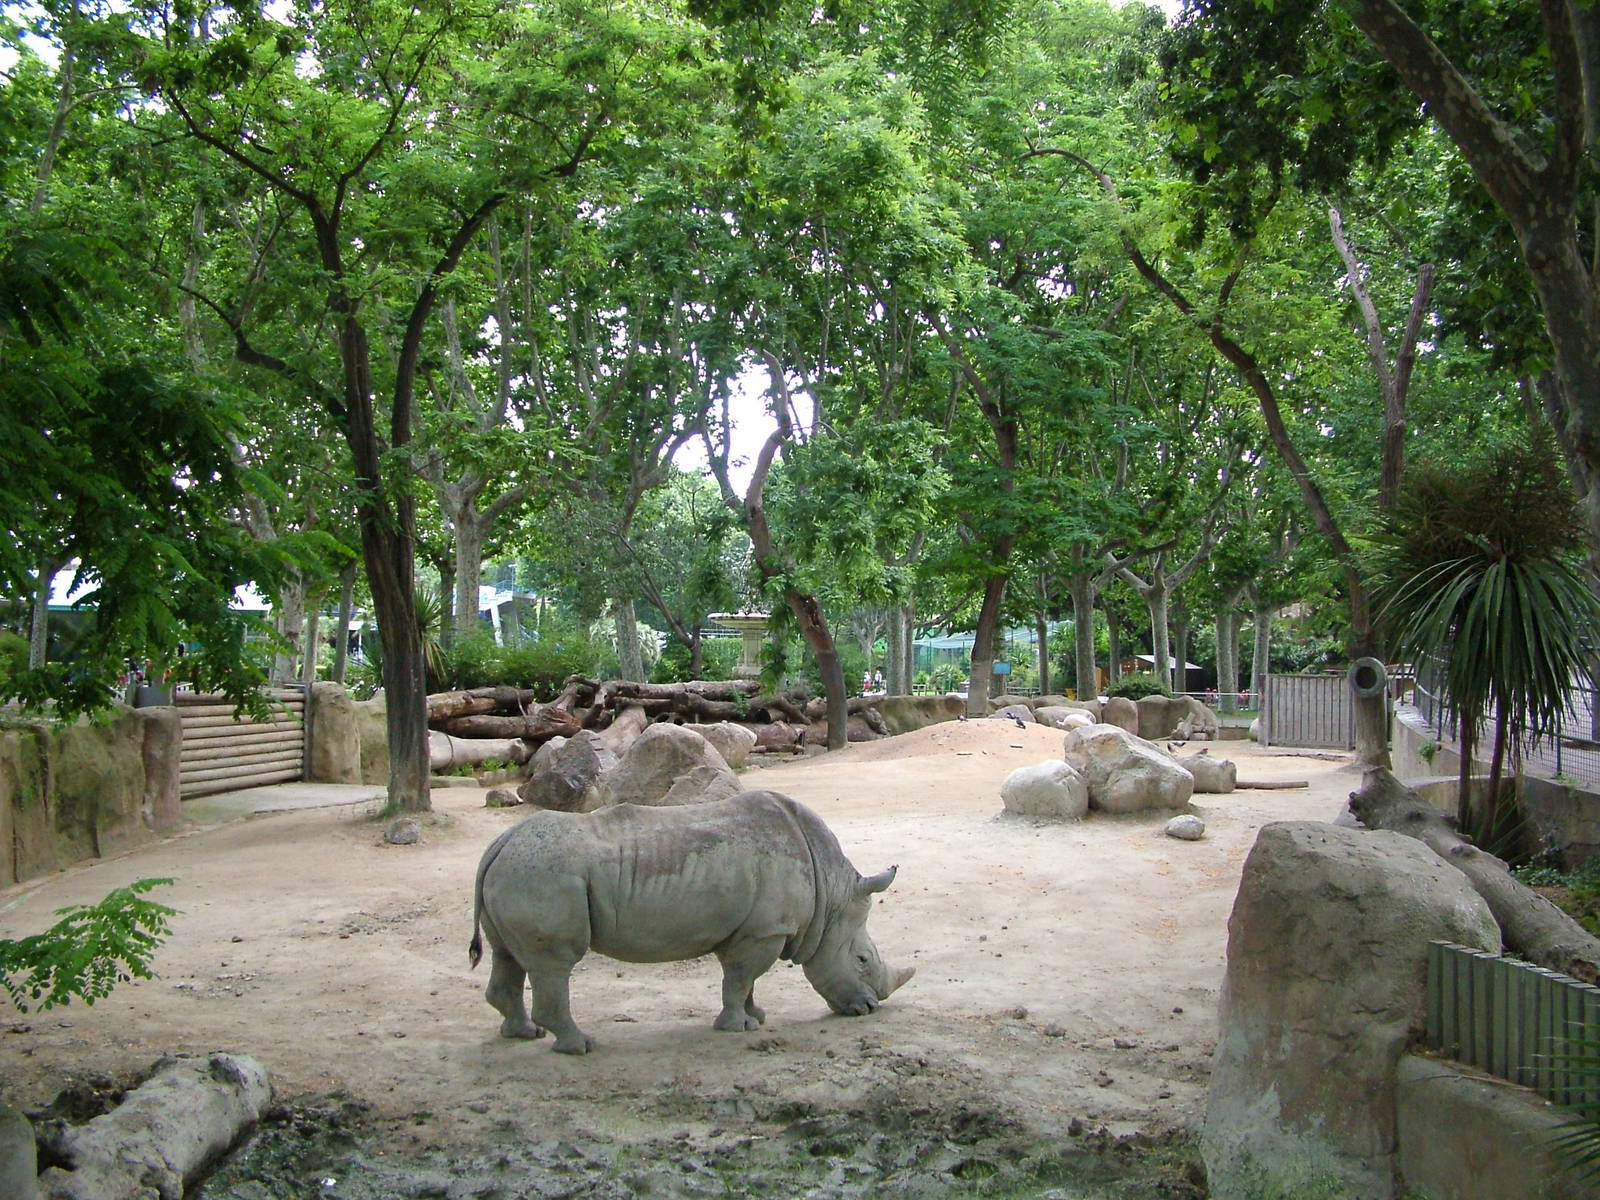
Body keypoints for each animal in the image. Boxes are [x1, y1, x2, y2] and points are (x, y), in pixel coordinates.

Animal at [469, 789, 914, 1054]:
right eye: (861, 960)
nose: (869, 1009)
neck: (830, 894)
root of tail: (499, 844)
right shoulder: (764, 931)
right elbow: (739, 979)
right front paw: (738, 1028)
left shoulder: (746, 929)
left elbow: (744, 981)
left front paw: (756, 1018)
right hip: (542, 874)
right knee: (554, 964)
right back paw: (579, 1045)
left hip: (519, 872)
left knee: (508, 955)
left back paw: (524, 1034)